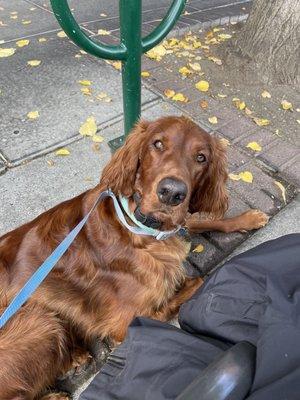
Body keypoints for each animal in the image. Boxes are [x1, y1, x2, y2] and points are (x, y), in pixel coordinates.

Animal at [0, 115, 268, 396]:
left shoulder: (175, 223)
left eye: (201, 157)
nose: (172, 193)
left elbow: (197, 221)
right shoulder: (125, 323)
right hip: (38, 319)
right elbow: (199, 279)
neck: (138, 227)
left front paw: (248, 218)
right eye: (157, 144)